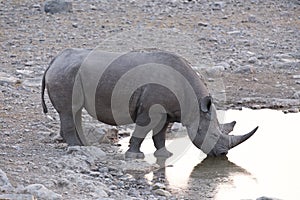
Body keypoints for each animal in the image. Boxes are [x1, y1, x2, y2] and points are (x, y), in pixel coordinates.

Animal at [41, 48, 258, 158]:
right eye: (212, 135)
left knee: (74, 111)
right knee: (69, 111)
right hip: (65, 74)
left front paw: (165, 154)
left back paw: (84, 146)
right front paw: (135, 156)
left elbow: (160, 134)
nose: (223, 153)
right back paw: (76, 149)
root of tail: (54, 61)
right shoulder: (149, 111)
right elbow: (142, 130)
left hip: (68, 72)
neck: (194, 104)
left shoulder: (167, 112)